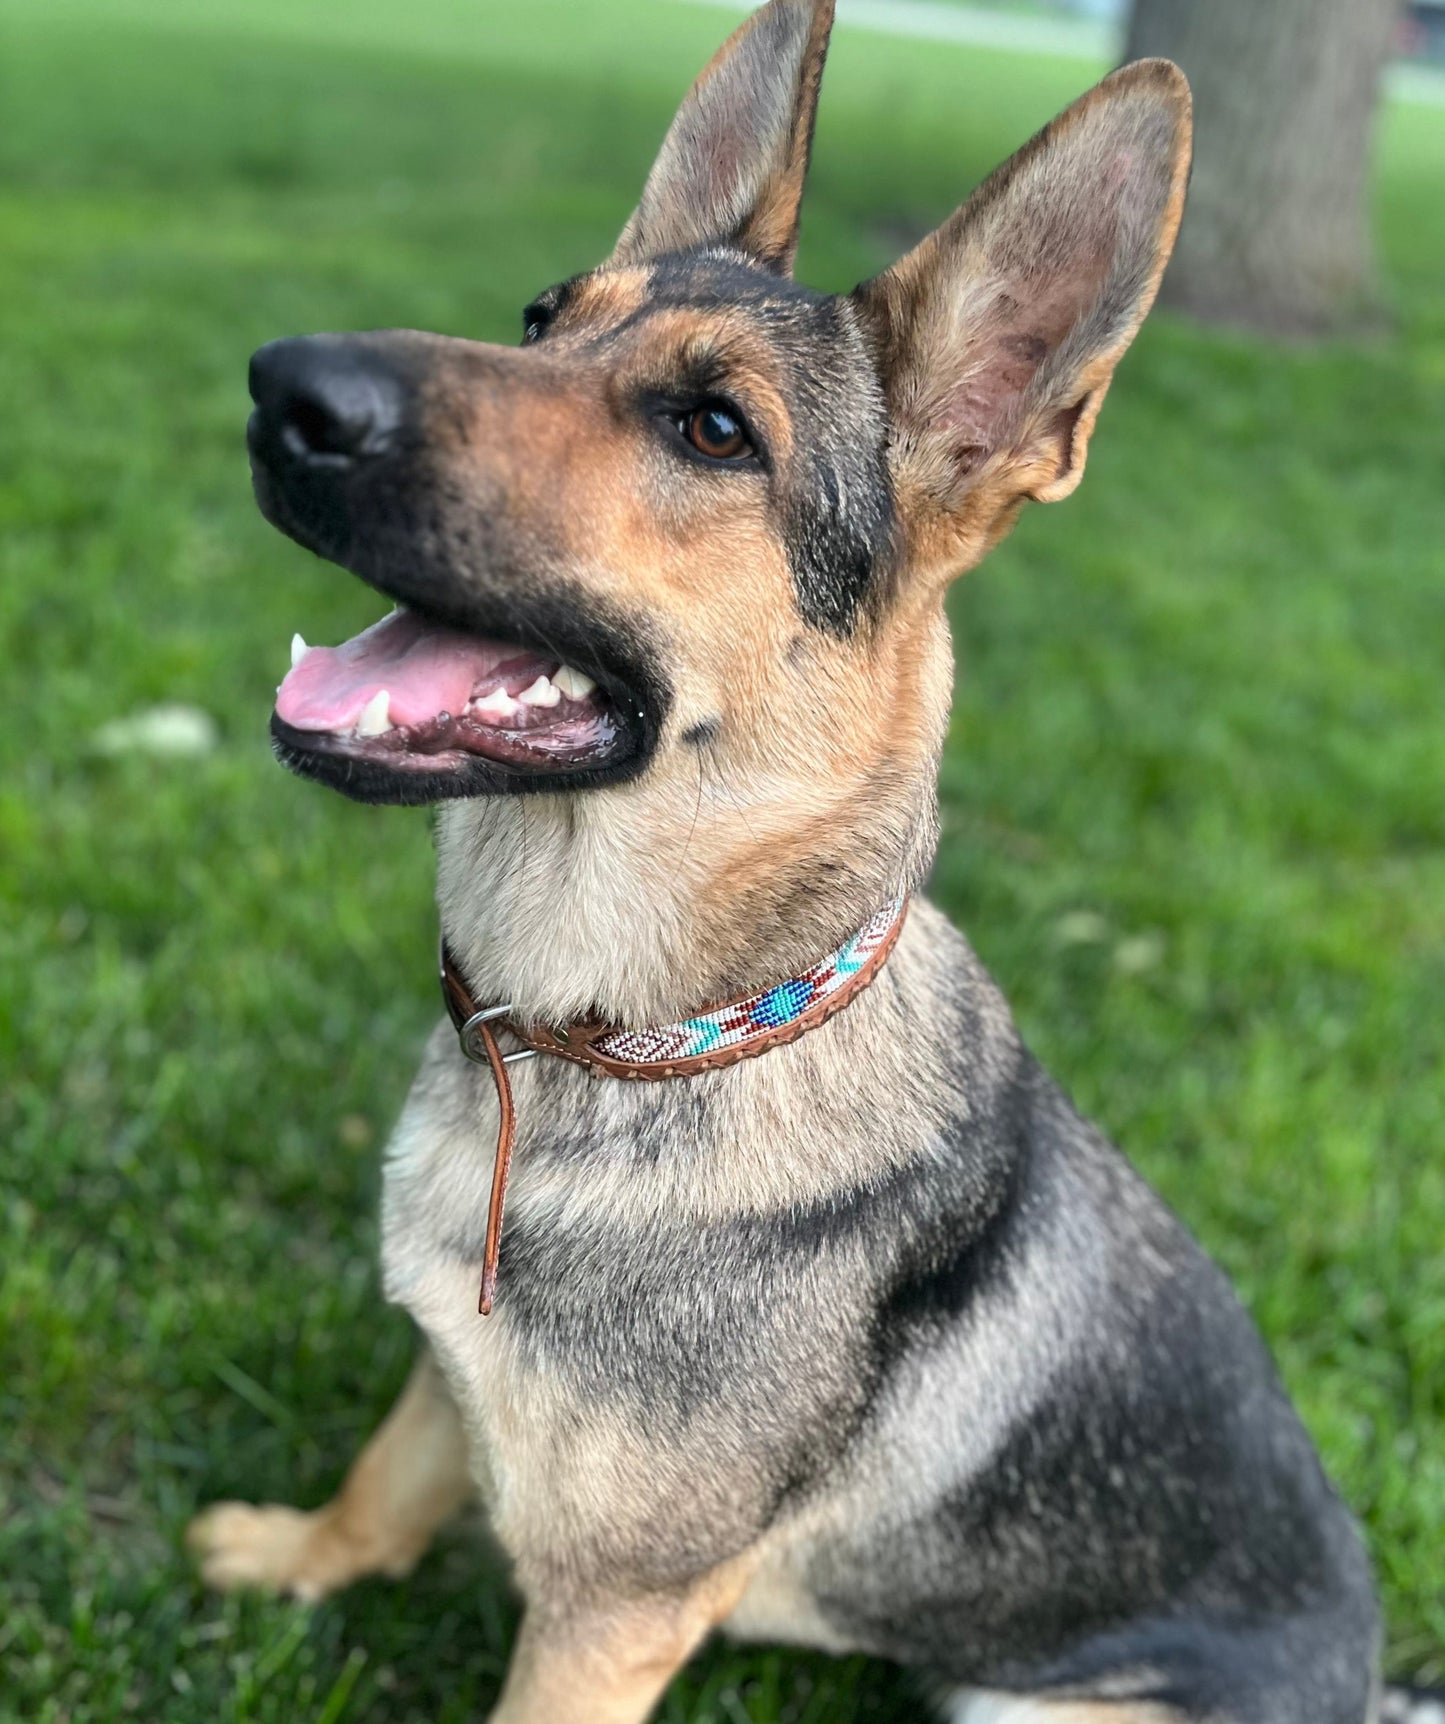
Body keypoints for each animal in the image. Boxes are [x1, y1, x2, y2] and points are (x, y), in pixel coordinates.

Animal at [189, 3, 1434, 1724]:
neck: (635, 1039)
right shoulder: (453, 1371)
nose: (278, 388)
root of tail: (1362, 1681)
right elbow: (391, 1475)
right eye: (538, 321)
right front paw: (300, 1554)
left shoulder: (611, 1616)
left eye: (713, 430)